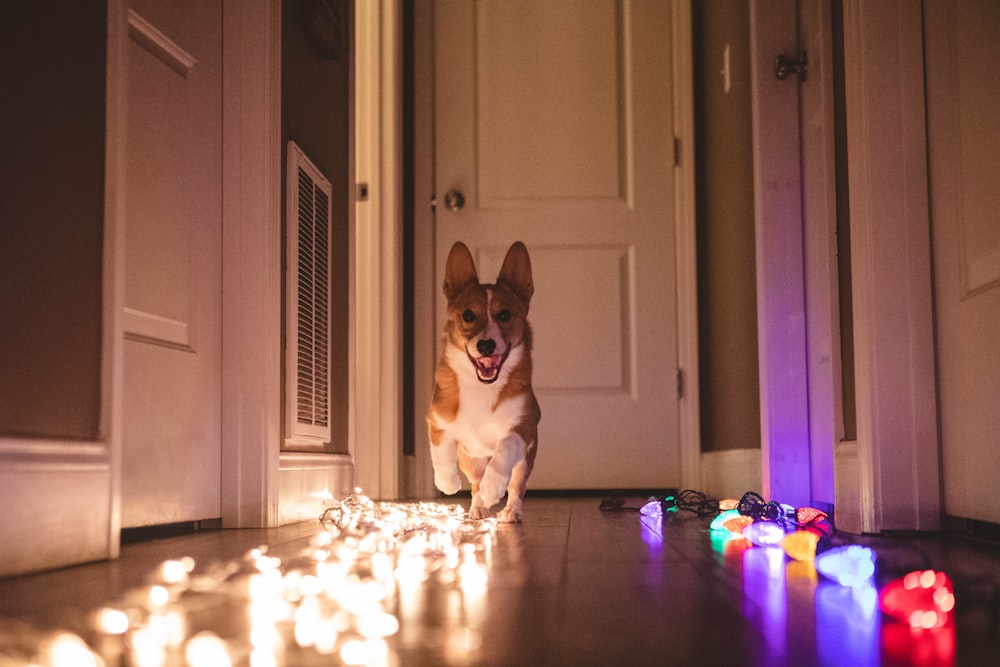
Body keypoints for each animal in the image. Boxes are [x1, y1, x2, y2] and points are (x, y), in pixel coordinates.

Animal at [428, 243, 540, 524]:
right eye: (468, 315)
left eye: (505, 315)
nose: (486, 346)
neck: (482, 387)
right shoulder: (437, 421)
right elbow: (441, 453)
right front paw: (447, 483)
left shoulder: (523, 427)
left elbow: (504, 453)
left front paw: (494, 487)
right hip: (471, 461)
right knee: (475, 483)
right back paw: (478, 508)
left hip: (525, 461)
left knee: (516, 486)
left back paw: (510, 510)